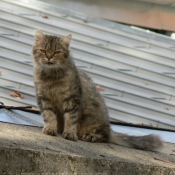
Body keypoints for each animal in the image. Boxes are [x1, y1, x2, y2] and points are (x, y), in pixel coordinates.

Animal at [31, 29, 163, 151]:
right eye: (43, 50)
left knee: (104, 136)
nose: (49, 56)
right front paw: (50, 128)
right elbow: (49, 115)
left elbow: (70, 119)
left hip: (94, 119)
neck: (51, 77)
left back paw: (90, 136)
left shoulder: (72, 99)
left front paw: (69, 133)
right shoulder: (43, 98)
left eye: (56, 52)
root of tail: (109, 128)